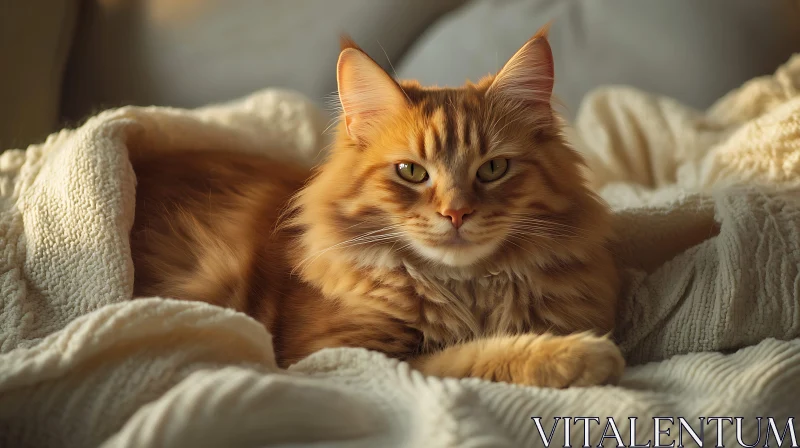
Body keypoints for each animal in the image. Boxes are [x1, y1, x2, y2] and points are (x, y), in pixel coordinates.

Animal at [130, 26, 624, 386]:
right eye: (411, 172)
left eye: (493, 169)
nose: (456, 213)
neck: (466, 290)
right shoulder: (339, 355)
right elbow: (465, 357)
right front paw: (578, 355)